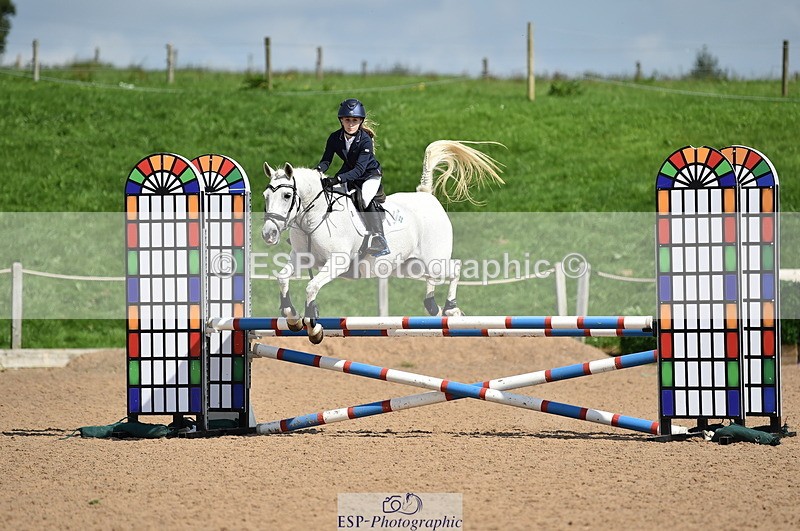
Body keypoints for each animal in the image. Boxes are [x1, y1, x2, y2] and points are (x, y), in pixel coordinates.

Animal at [261, 140, 504, 343]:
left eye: (286, 196)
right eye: (265, 196)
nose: (268, 233)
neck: (315, 217)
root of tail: (426, 195)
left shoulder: (337, 262)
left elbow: (311, 287)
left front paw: (314, 328)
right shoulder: (300, 258)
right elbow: (282, 278)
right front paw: (291, 316)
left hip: (434, 259)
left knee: (454, 269)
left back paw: (451, 309)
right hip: (410, 266)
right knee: (432, 277)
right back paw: (432, 305)